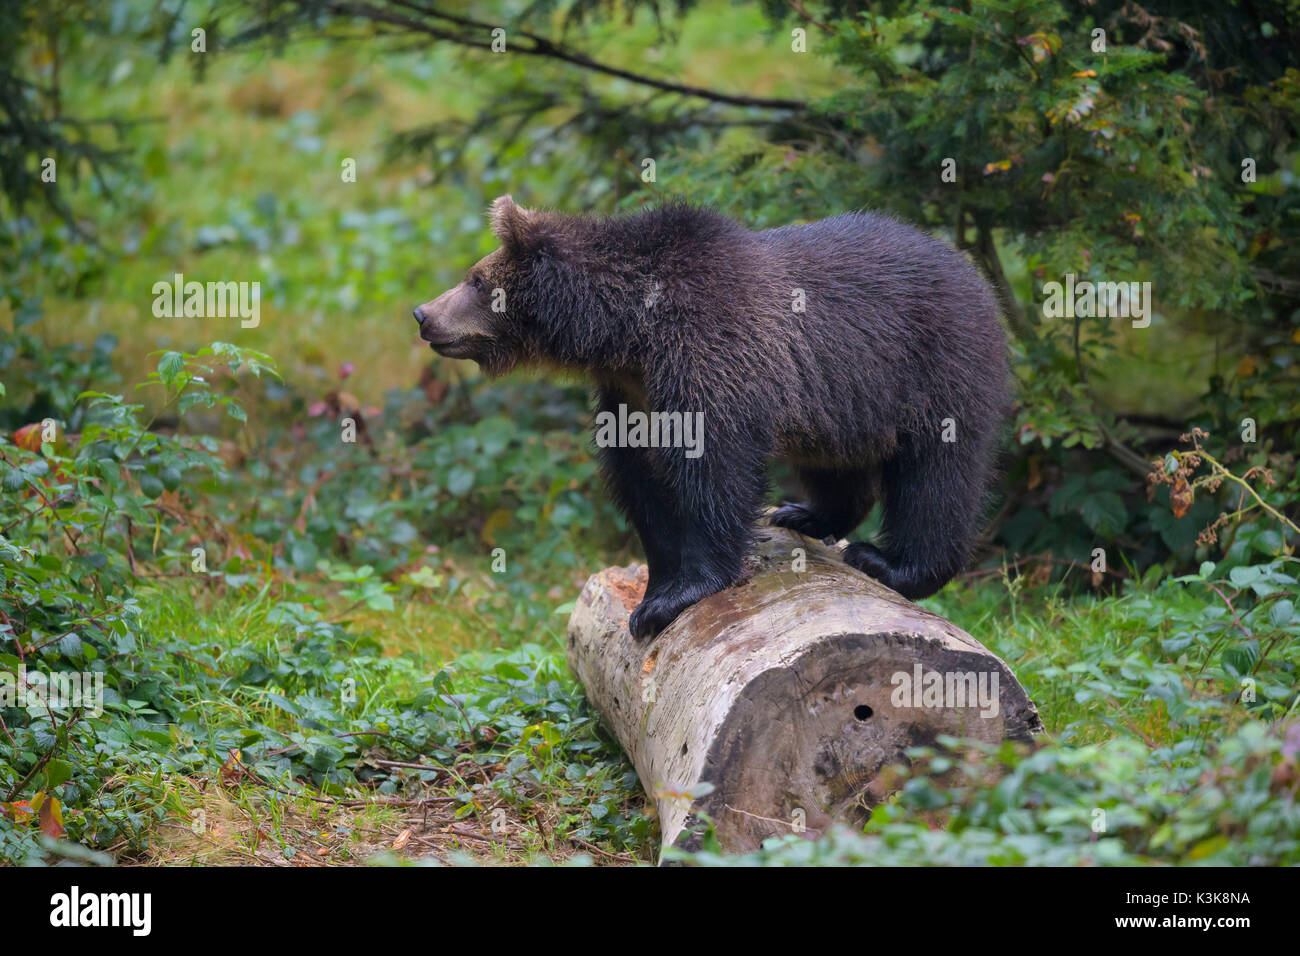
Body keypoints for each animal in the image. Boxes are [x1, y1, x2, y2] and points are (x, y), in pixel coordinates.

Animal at [413, 195, 1009, 640]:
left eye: (475, 280)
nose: (423, 314)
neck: (629, 333)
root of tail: (975, 276)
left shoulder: (709, 354)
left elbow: (713, 471)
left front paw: (675, 598)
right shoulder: (631, 394)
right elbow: (641, 483)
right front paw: (656, 588)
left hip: (935, 367)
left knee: (937, 478)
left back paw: (894, 562)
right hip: (842, 401)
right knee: (837, 463)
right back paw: (804, 514)